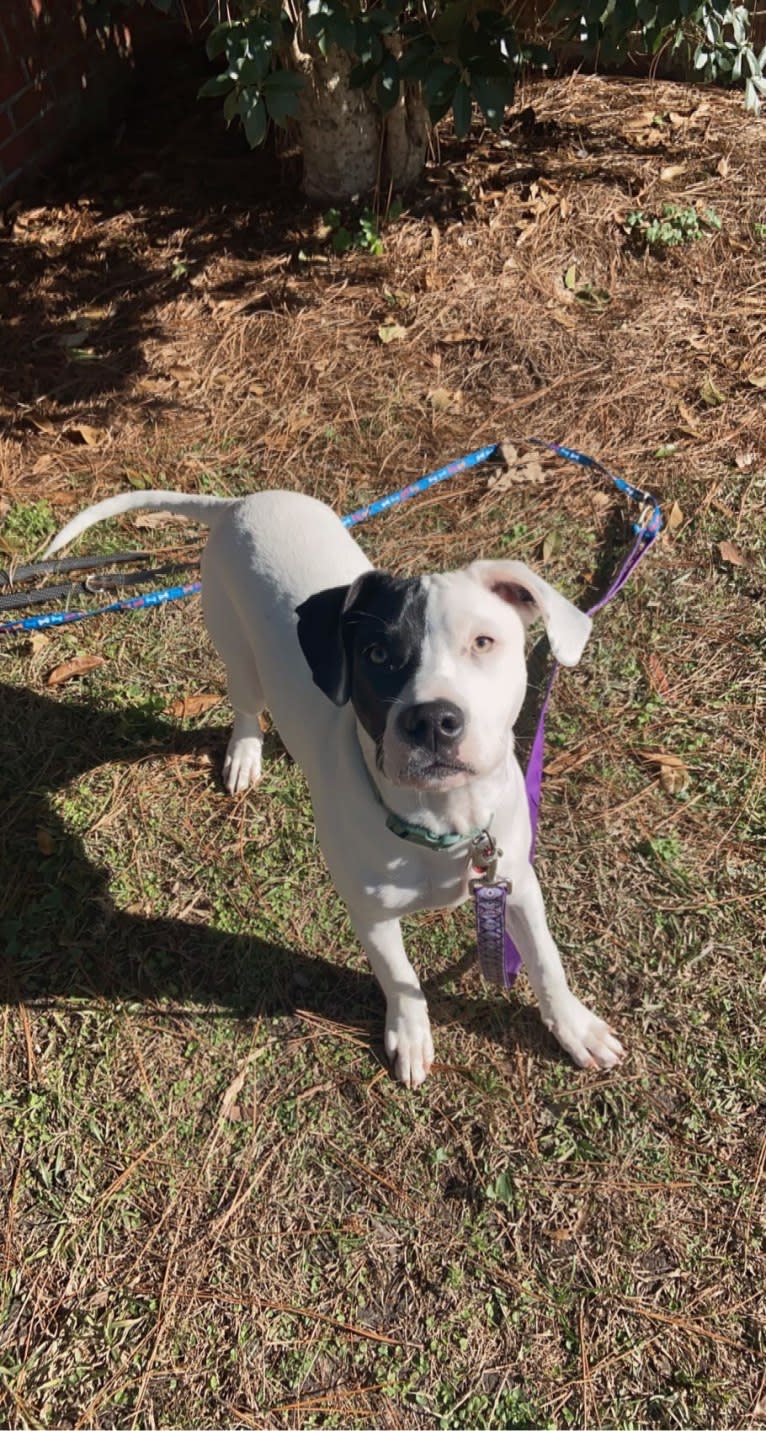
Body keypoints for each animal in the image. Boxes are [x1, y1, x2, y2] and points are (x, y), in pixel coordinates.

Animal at [46, 489, 624, 1081]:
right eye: (376, 656)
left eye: (483, 642)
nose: (432, 721)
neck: (443, 821)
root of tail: (242, 501)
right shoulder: (371, 914)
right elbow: (400, 976)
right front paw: (410, 1035)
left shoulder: (516, 882)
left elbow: (547, 961)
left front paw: (575, 1028)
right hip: (237, 651)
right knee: (246, 707)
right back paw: (244, 755)